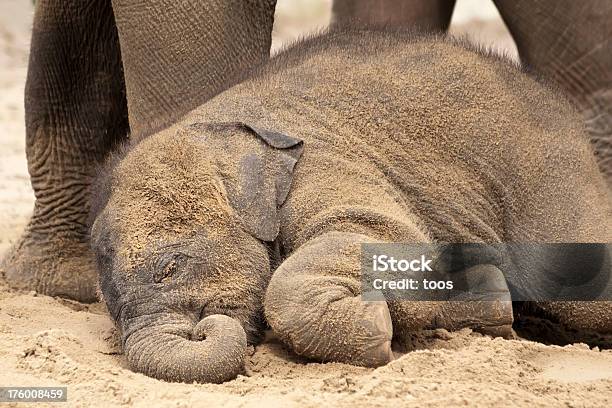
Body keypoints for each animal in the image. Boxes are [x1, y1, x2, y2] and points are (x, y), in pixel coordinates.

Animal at [89, 27, 612, 382]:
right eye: (109, 307)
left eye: (170, 269)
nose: (202, 330)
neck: (211, 126)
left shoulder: (326, 163)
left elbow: (389, 235)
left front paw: (375, 329)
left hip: (551, 182)